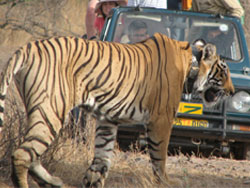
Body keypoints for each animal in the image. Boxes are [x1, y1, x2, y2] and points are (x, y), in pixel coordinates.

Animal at [0, 33, 234, 187]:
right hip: (51, 110)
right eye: (224, 72)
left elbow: (101, 160)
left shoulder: (107, 120)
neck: (190, 66)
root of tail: (27, 47)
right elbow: (159, 155)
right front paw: (165, 181)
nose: (232, 91)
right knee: (22, 154)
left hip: (42, 111)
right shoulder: (162, 119)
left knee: (32, 154)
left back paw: (53, 181)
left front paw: (92, 181)